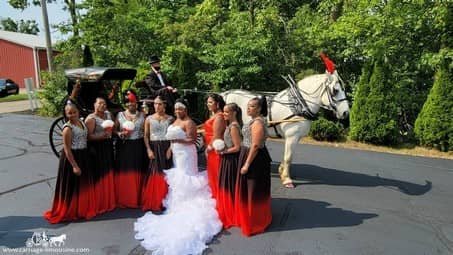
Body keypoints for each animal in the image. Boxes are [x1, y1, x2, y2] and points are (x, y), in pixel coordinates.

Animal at [222, 71, 350, 187]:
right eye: (335, 90)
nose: (345, 113)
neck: (298, 105)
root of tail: (224, 94)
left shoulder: (295, 138)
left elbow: (288, 156)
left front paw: (282, 171)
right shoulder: (291, 136)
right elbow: (288, 157)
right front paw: (287, 179)